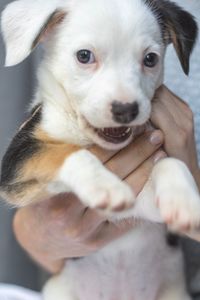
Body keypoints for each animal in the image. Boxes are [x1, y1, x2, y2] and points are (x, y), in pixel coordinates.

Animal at [0, 0, 199, 300]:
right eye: (84, 56)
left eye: (150, 59)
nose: (126, 109)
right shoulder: (17, 165)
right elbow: (64, 152)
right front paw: (104, 185)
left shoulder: (141, 205)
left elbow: (168, 162)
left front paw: (183, 200)